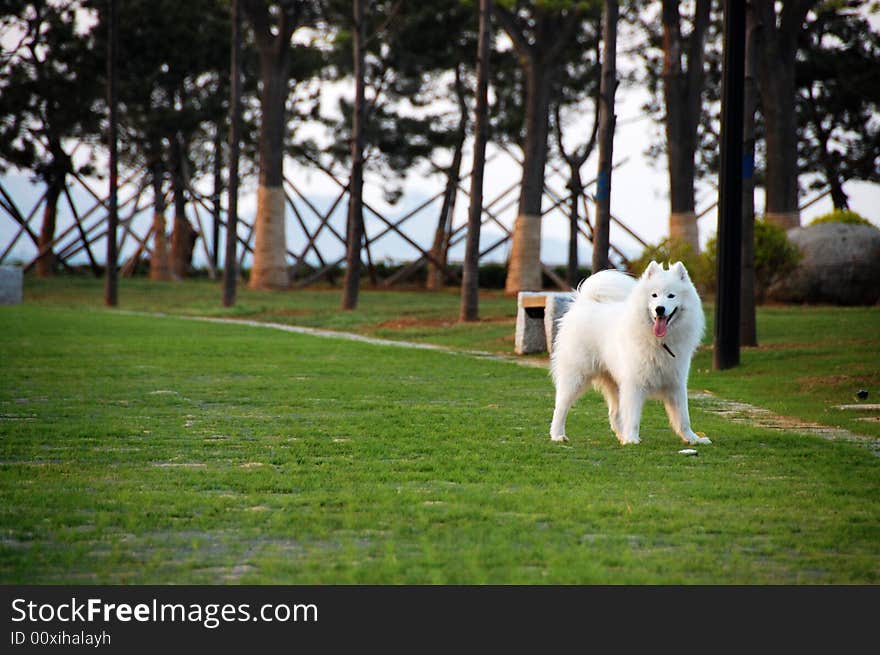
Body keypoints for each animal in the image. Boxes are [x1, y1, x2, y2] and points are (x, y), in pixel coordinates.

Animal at [552, 262, 712, 446]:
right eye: (654, 295)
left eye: (671, 296)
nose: (660, 309)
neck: (659, 341)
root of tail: (584, 302)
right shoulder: (634, 384)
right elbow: (633, 416)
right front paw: (632, 439)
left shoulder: (676, 382)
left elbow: (684, 418)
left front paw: (693, 438)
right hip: (576, 377)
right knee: (561, 407)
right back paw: (557, 435)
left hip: (614, 382)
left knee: (614, 414)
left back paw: (621, 437)